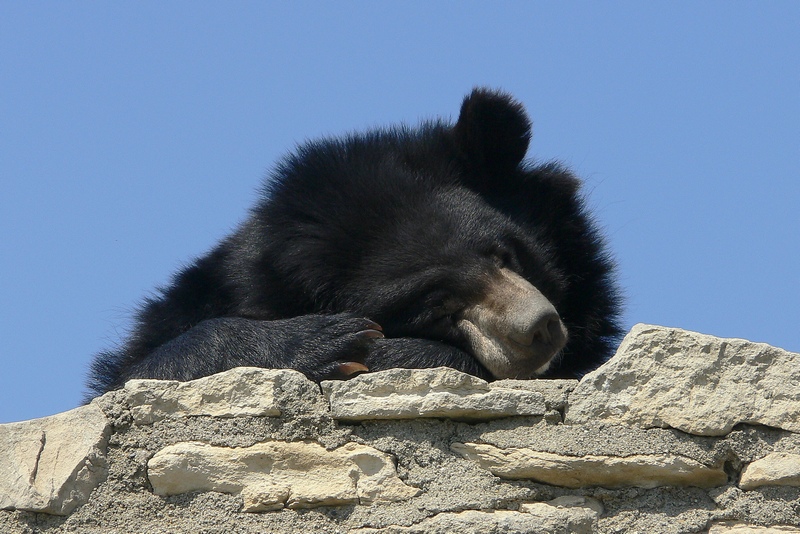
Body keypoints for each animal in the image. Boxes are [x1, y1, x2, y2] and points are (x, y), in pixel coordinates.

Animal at [87, 88, 624, 400]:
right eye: (435, 307)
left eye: (505, 254)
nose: (538, 329)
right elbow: (139, 372)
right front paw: (328, 342)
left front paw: (383, 354)